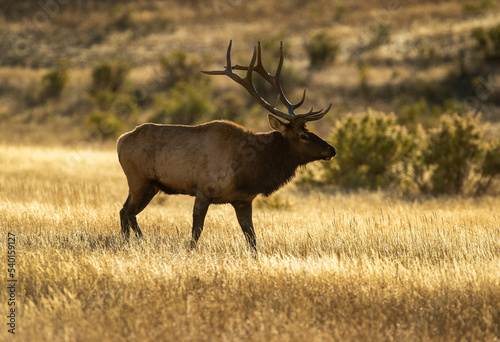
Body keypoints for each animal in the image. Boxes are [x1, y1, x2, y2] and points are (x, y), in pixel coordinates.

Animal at [117, 41, 336, 252]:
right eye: (303, 135)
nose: (332, 149)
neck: (249, 169)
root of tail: (120, 140)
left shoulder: (243, 200)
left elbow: (252, 238)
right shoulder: (203, 190)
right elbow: (196, 232)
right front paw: (190, 253)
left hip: (149, 185)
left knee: (126, 211)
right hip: (139, 180)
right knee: (127, 211)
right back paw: (132, 242)